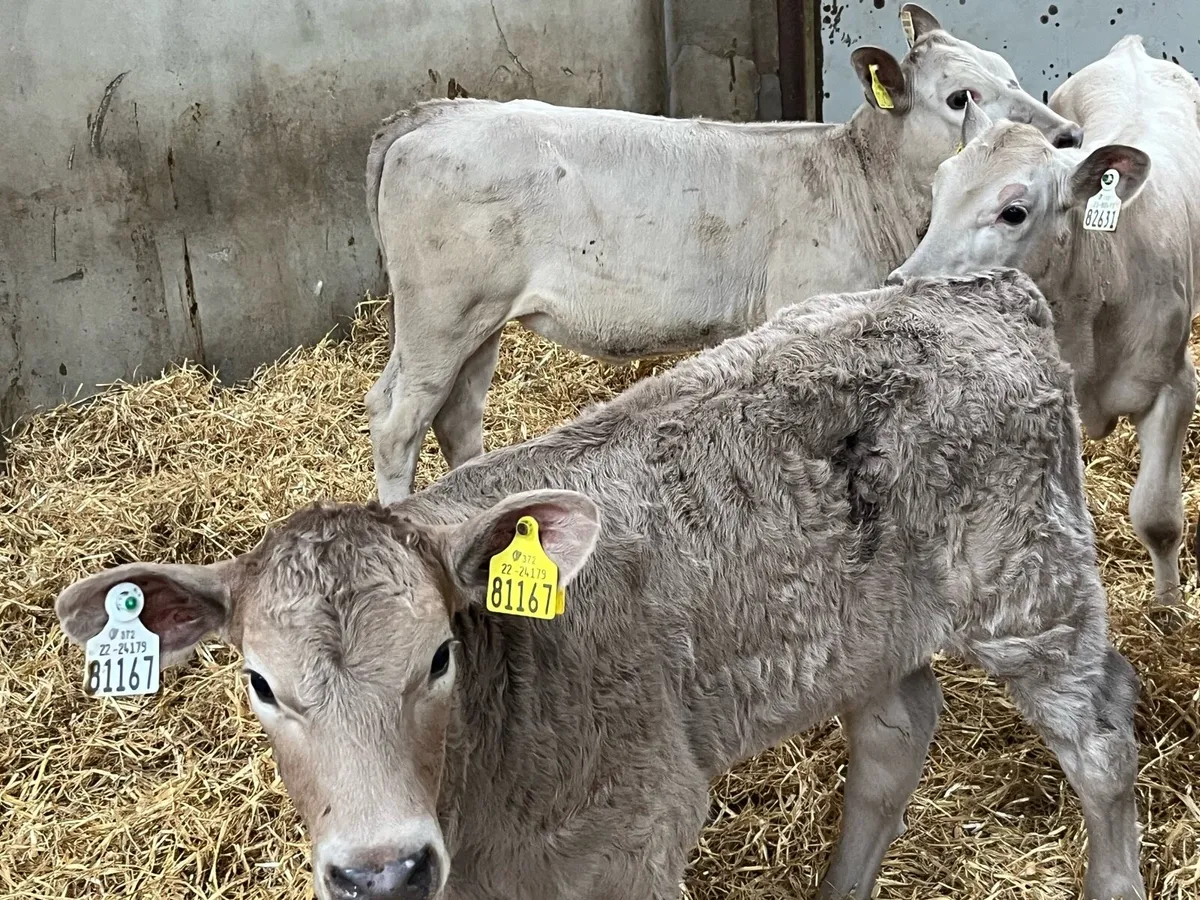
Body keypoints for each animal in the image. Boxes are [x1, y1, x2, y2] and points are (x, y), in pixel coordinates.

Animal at [56, 270, 1143, 900]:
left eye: (441, 655)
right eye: (261, 685)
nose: (384, 871)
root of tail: (977, 288)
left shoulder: (637, 836)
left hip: (1030, 585)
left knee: (1101, 735)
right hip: (869, 620)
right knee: (895, 729)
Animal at [362, 3, 1084, 503]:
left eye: (1009, 73)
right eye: (961, 97)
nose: (1069, 135)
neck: (861, 179)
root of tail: (443, 114)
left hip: (474, 320)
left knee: (452, 416)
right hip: (442, 314)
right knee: (398, 423)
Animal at [887, 35, 1200, 609]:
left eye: (1013, 212)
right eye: (939, 190)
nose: (903, 284)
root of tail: (1131, 49)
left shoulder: (1175, 384)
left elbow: (1158, 515)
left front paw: (1168, 605)